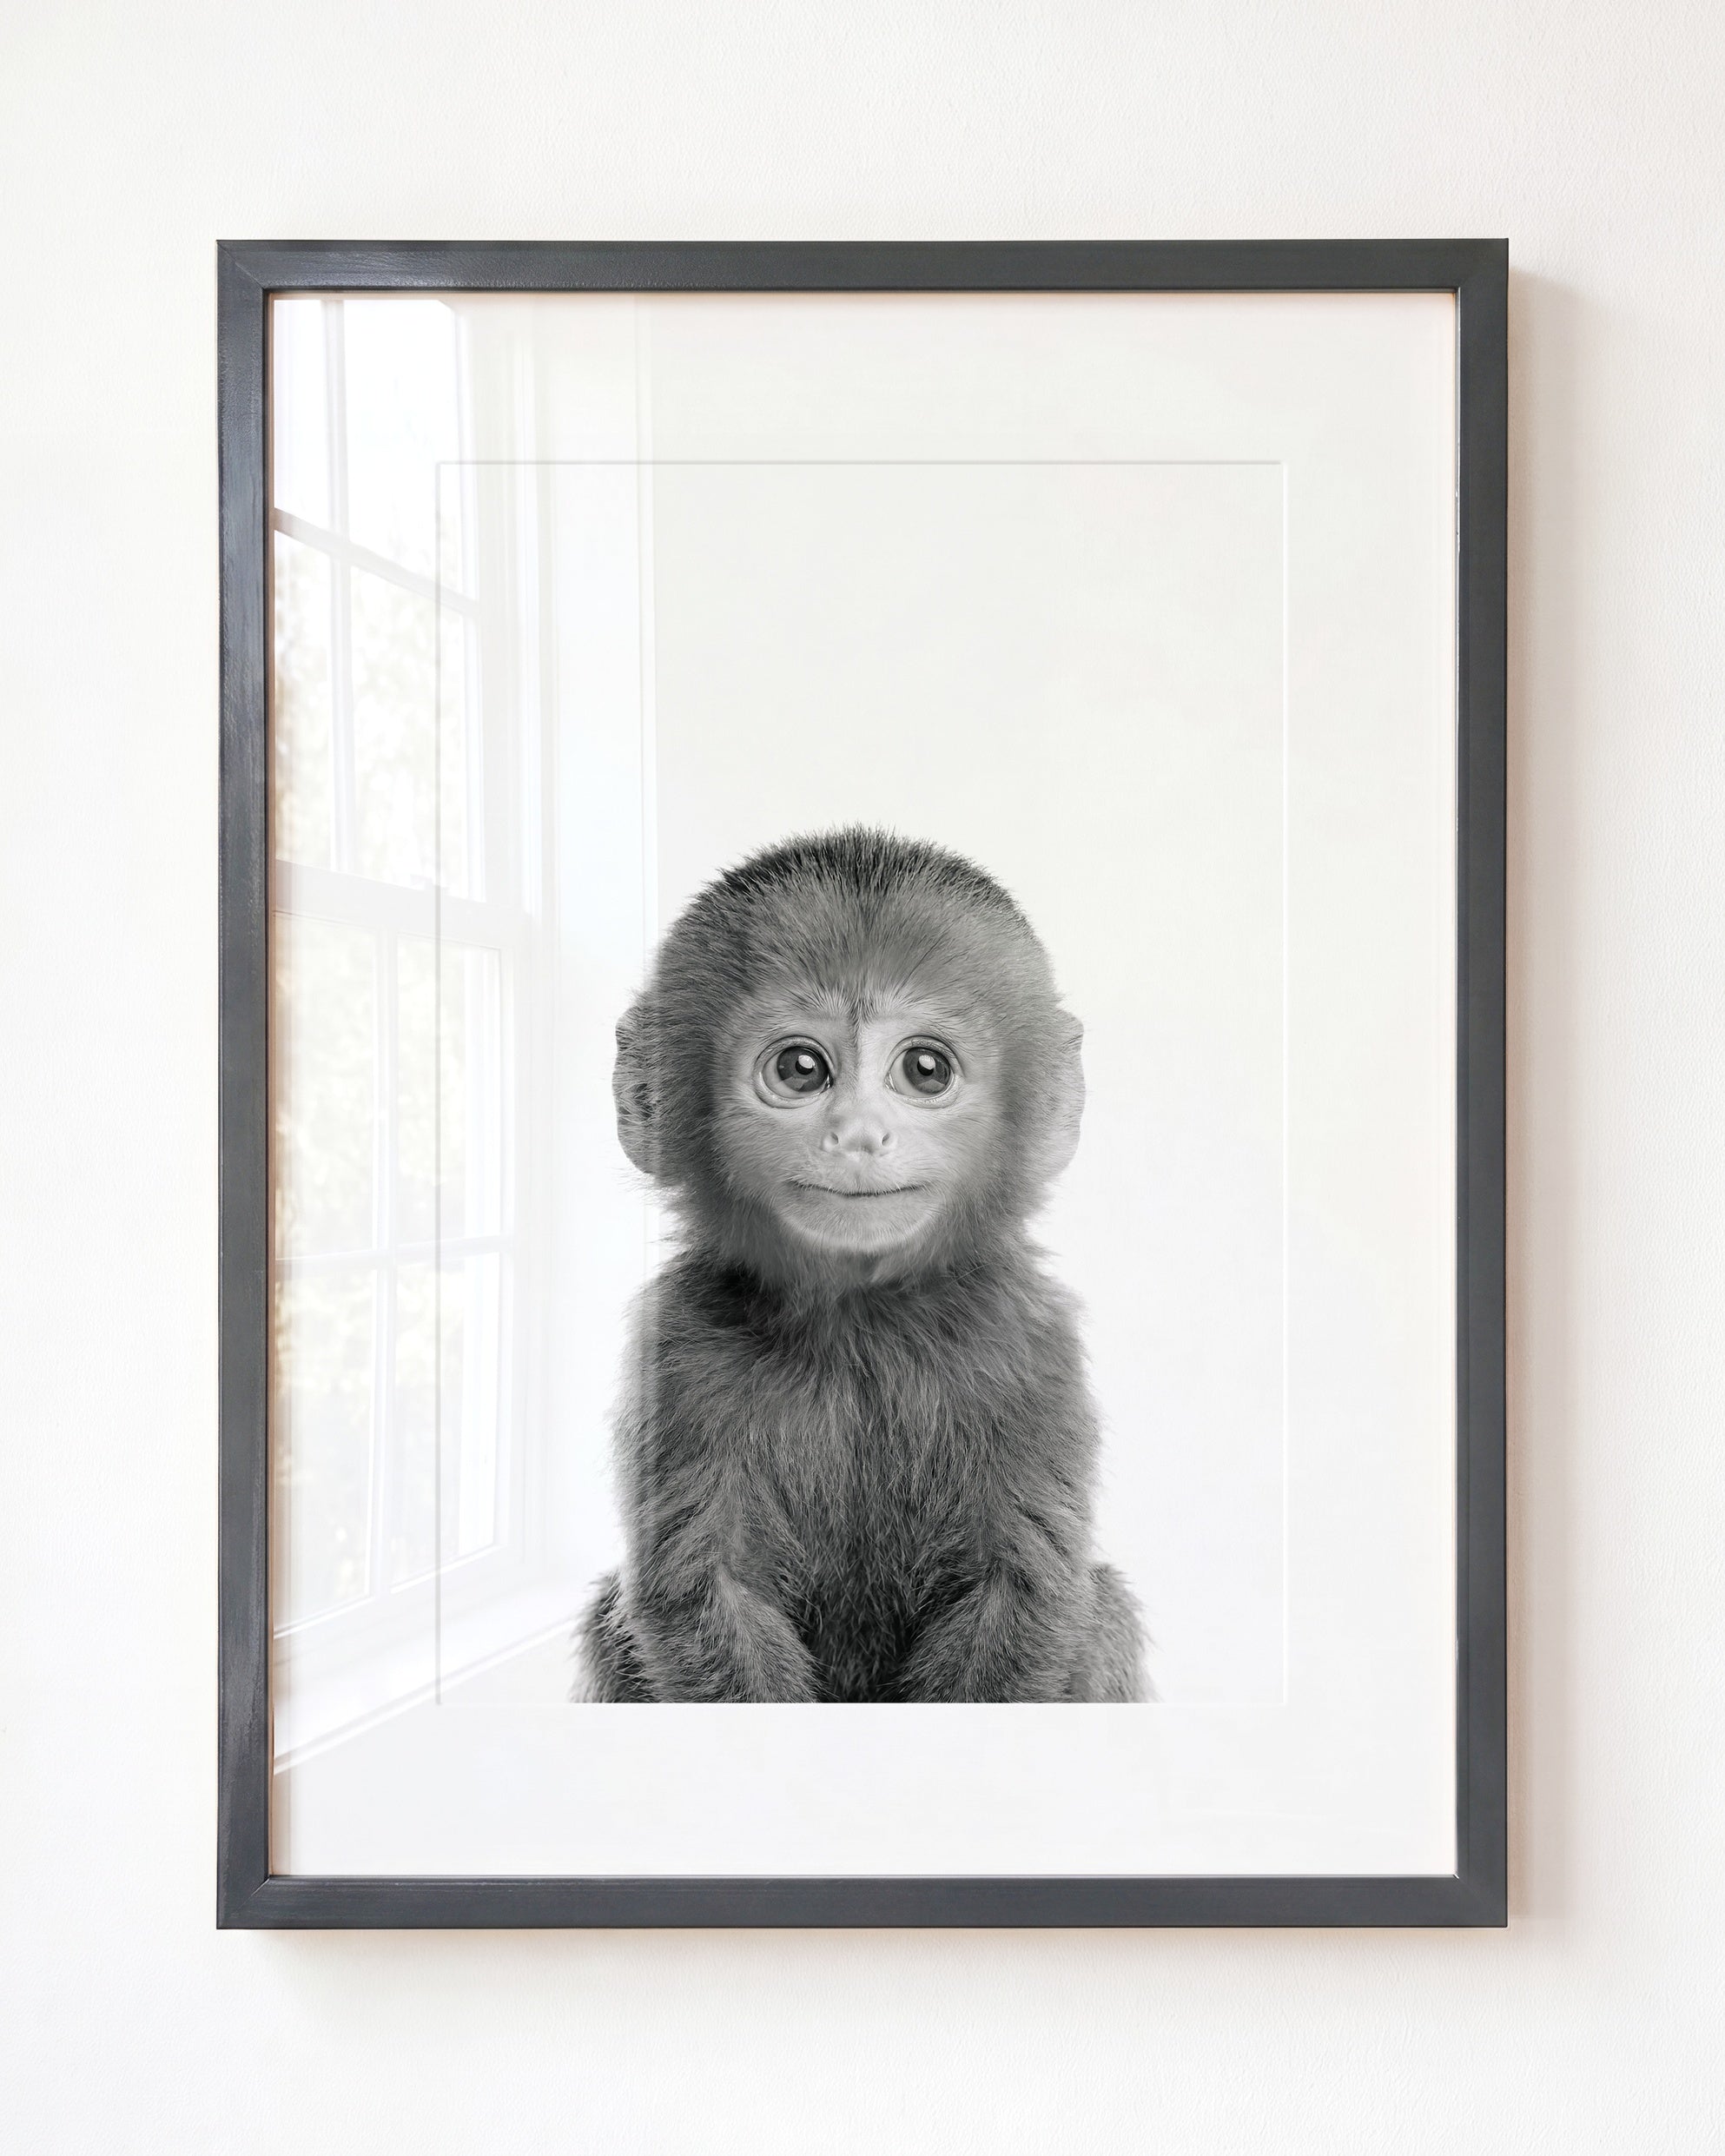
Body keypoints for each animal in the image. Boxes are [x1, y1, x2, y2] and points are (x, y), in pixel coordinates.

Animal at [574, 826, 1144, 1703]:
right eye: (801, 1069)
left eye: (925, 1070)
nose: (859, 1135)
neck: (861, 1324)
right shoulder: (676, 1351)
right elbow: (702, 1594)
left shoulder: (1030, 1343)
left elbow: (1021, 1590)